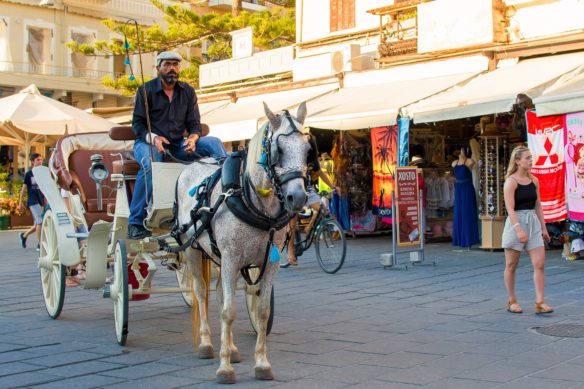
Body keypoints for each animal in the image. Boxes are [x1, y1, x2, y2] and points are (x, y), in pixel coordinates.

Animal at [176, 101, 310, 382]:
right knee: (201, 292)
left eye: (307, 150)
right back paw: (206, 344)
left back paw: (233, 349)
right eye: (279, 150)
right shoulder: (231, 259)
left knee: (217, 293)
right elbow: (228, 311)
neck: (253, 202)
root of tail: (192, 165)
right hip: (193, 248)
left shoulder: (268, 264)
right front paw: (224, 368)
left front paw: (261, 364)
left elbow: (261, 311)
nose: (298, 198)